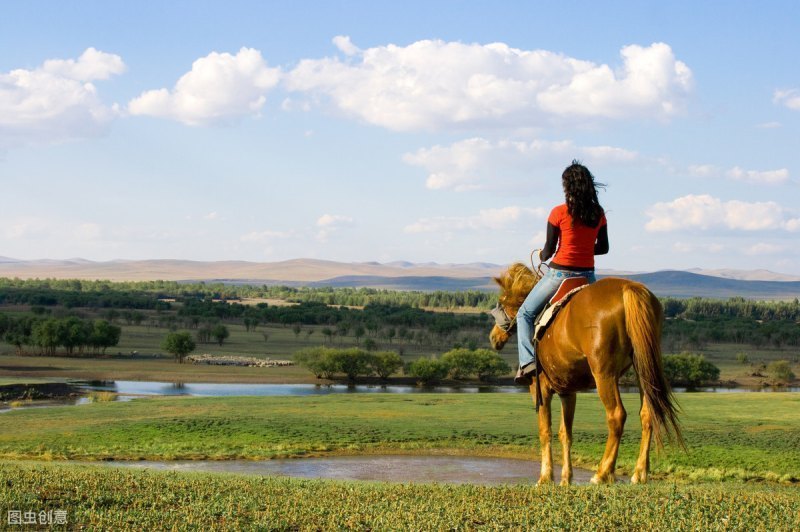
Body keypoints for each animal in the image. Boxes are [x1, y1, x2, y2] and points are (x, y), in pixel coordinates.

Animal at [488, 264, 680, 484]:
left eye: (502, 302)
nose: (493, 337)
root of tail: (628, 288)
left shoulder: (541, 389)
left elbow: (545, 431)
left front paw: (545, 477)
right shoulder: (567, 392)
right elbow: (565, 433)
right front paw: (566, 479)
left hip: (604, 374)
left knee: (616, 415)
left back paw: (602, 473)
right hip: (643, 370)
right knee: (647, 414)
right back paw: (639, 473)